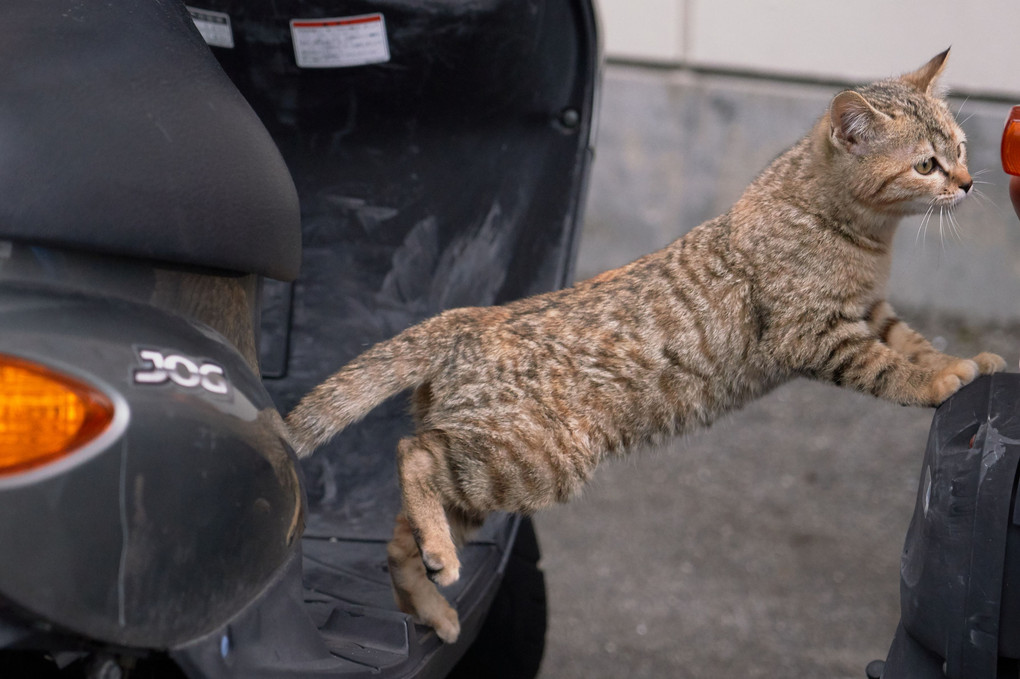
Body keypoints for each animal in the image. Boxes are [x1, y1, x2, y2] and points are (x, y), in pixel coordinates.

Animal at [285, 50, 1003, 644]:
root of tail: (465, 319)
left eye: (964, 148)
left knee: (397, 541)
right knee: (414, 454)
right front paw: (939, 382)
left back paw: (434, 599)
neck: (857, 232)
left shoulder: (871, 313)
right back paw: (437, 553)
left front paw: (969, 361)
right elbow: (890, 369)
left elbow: (913, 342)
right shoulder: (820, 333)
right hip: (533, 459)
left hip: (491, 478)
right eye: (926, 164)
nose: (968, 182)